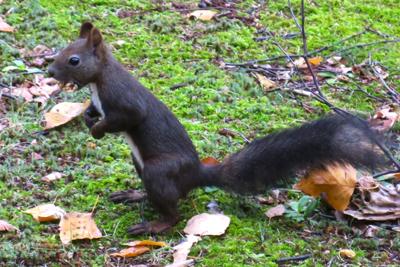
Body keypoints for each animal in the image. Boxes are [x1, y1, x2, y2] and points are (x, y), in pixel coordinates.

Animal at [47, 23, 384, 236]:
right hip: (140, 164)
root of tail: (196, 174)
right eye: (62, 49)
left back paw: (154, 225)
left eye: (74, 59)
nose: (49, 70)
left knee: (173, 211)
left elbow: (128, 117)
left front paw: (98, 130)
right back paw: (135, 194)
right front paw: (89, 118)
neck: (99, 81)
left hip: (159, 170)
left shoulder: (124, 100)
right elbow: (94, 112)